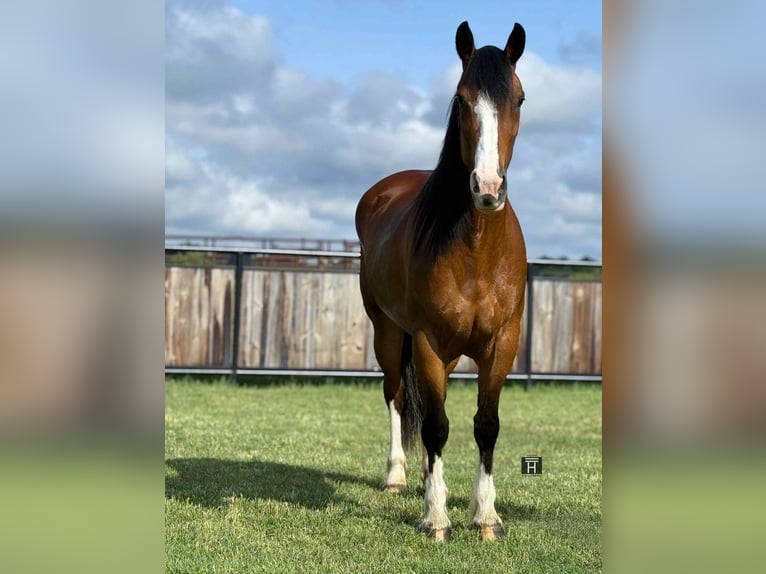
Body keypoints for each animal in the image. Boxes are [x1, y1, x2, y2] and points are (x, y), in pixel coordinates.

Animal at [355, 21, 527, 542]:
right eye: (462, 99)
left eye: (519, 99)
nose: (488, 188)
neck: (476, 251)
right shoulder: (428, 341)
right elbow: (434, 427)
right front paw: (436, 518)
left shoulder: (501, 344)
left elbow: (484, 425)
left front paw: (486, 517)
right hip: (389, 333)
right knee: (397, 395)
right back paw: (398, 476)